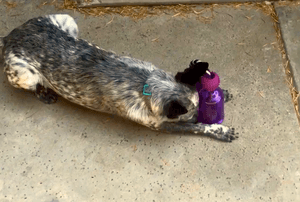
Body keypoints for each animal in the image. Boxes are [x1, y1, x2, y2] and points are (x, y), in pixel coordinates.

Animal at [1, 14, 238, 142]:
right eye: (190, 115)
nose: (212, 115)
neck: (147, 83)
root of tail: (10, 36)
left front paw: (220, 93)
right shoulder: (159, 125)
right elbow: (197, 127)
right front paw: (220, 130)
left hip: (67, 20)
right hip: (23, 75)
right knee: (32, 85)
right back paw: (44, 92)